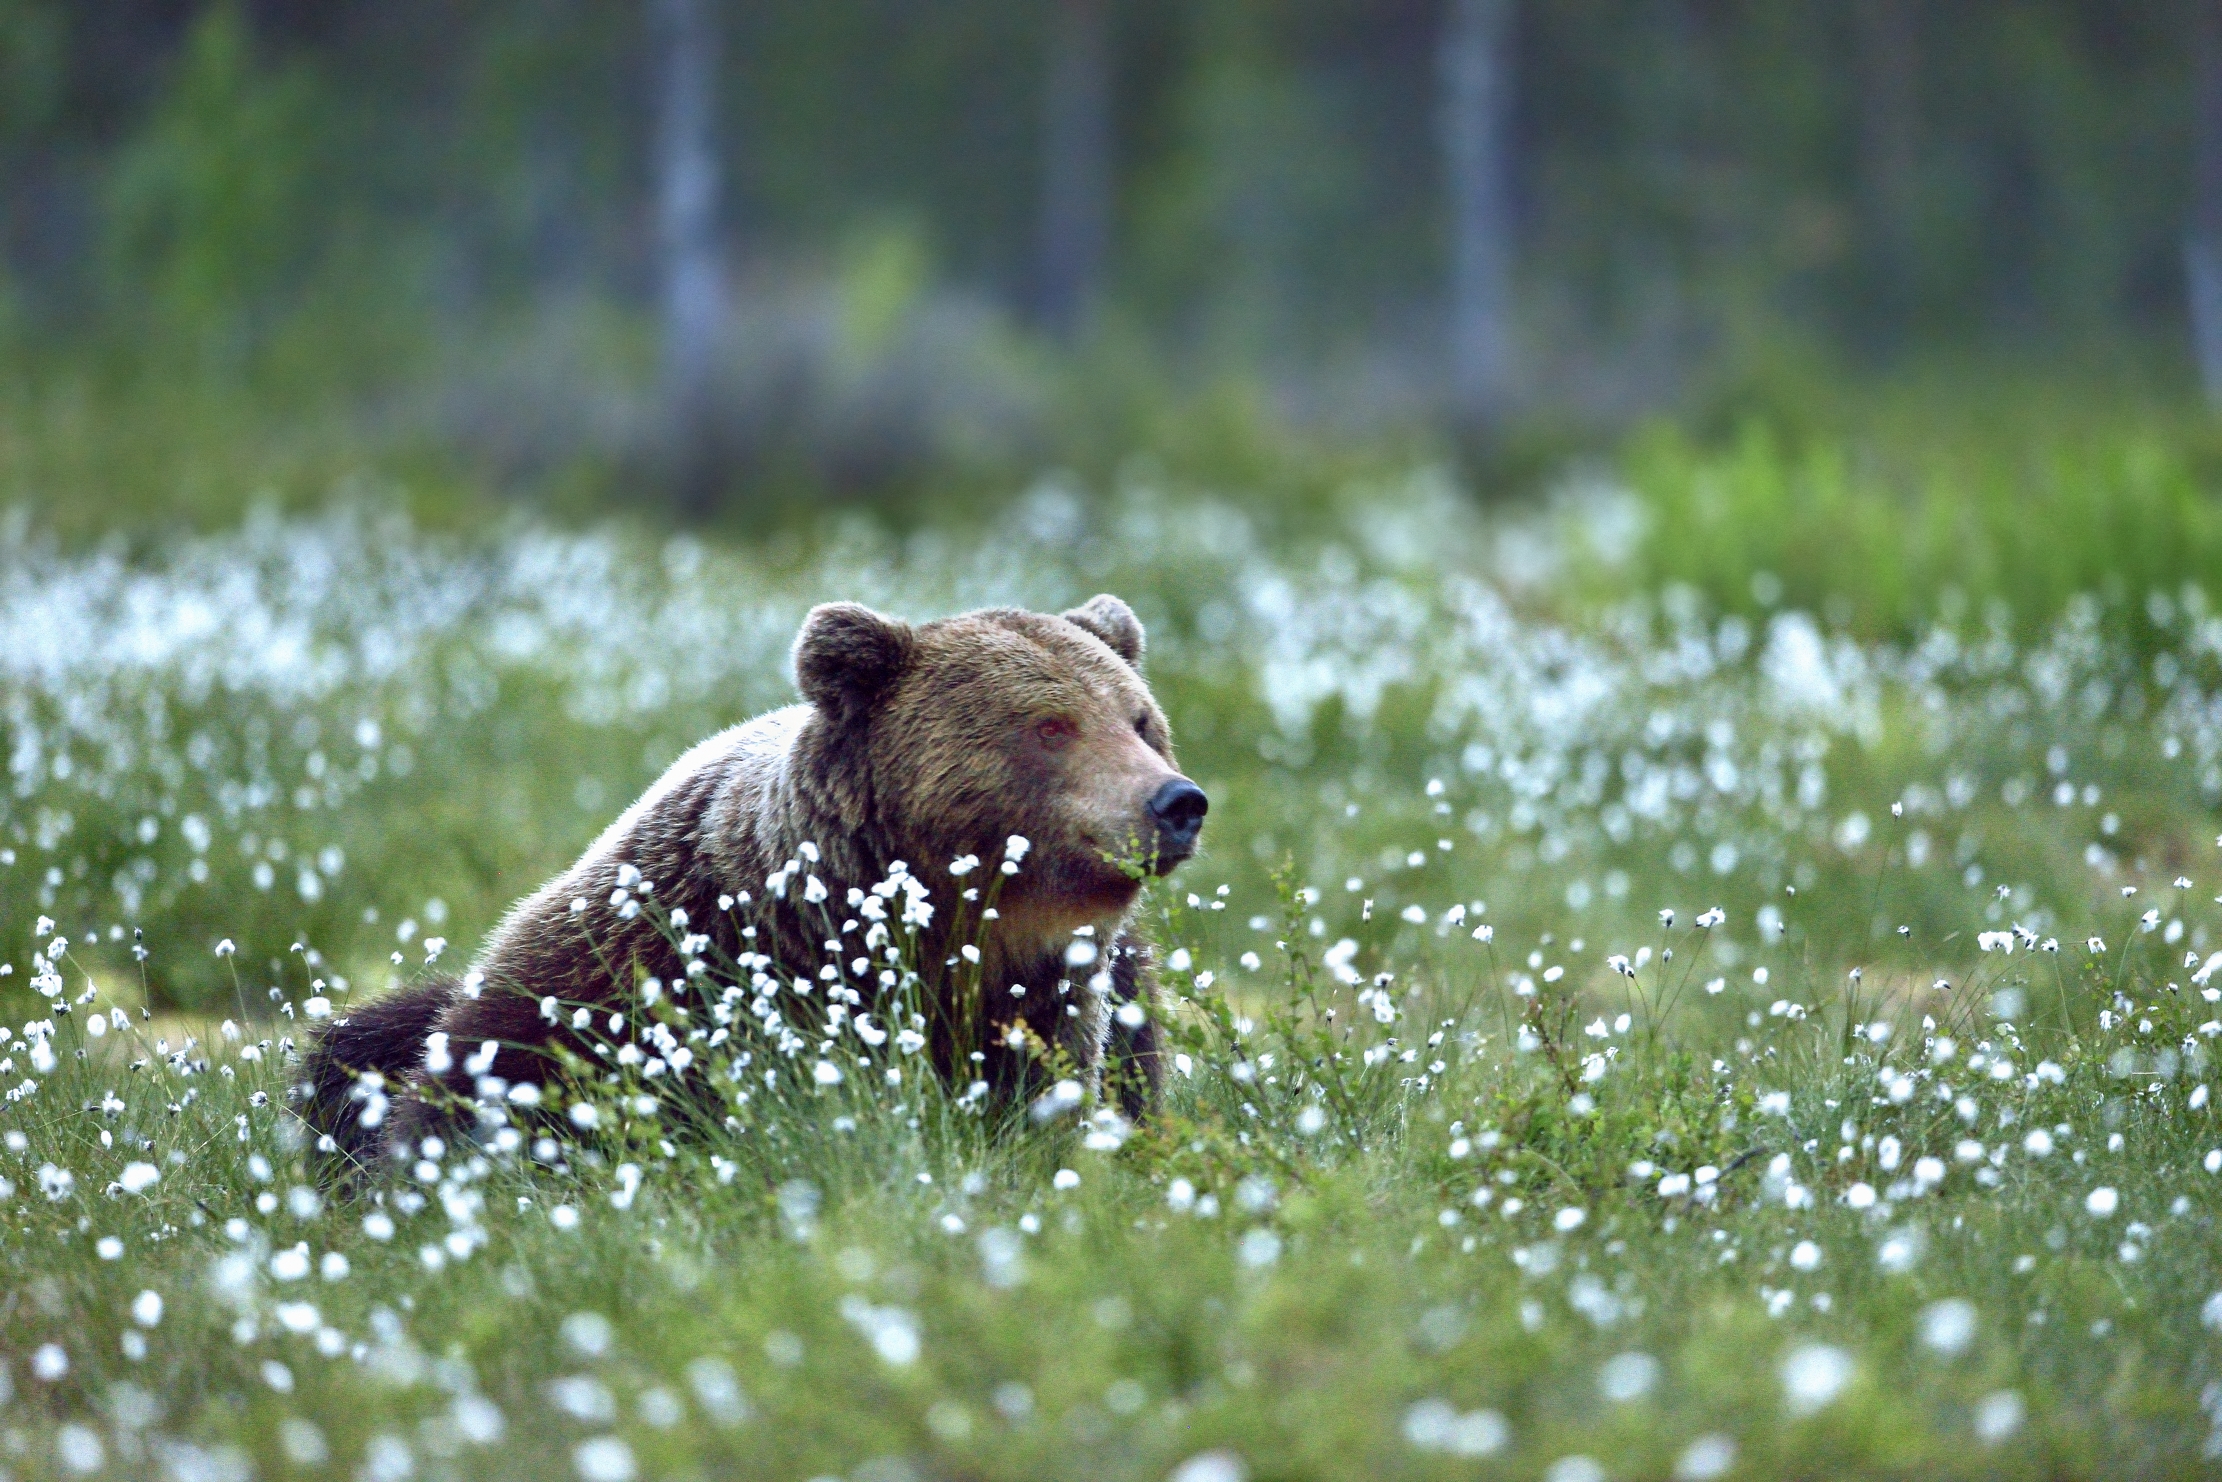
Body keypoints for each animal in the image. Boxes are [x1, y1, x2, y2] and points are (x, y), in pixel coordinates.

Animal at [296, 594, 1208, 1172]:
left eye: (1139, 719)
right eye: (1050, 726)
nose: (1176, 801)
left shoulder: (1053, 996)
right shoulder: (642, 962)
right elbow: (502, 1082)